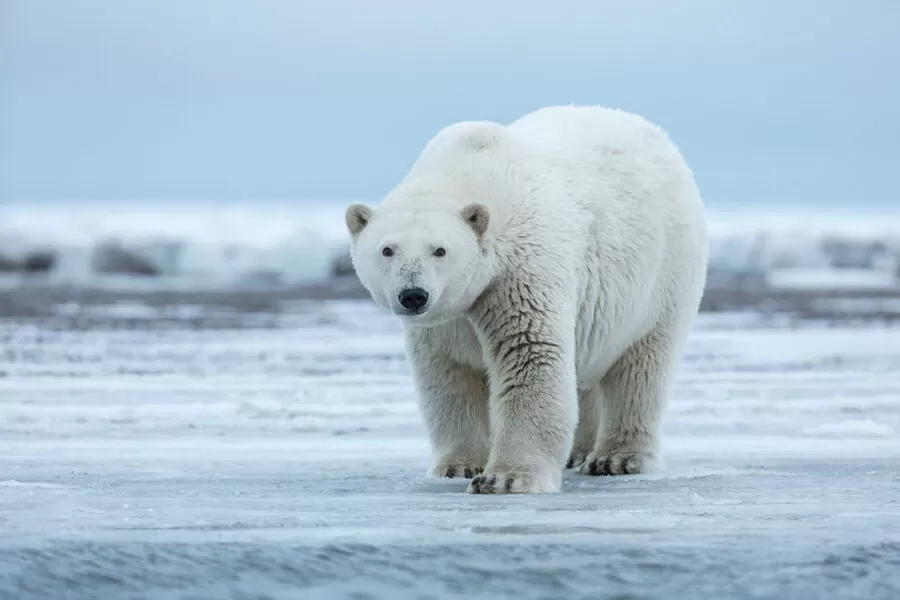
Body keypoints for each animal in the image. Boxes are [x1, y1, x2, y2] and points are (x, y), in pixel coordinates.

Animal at [346, 105, 712, 494]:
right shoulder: (447, 320)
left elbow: (530, 352)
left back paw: (616, 458)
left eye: (439, 250)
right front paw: (458, 465)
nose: (413, 295)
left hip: (662, 275)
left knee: (642, 366)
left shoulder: (520, 268)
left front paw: (504, 478)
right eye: (387, 250)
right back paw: (578, 452)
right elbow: (450, 375)